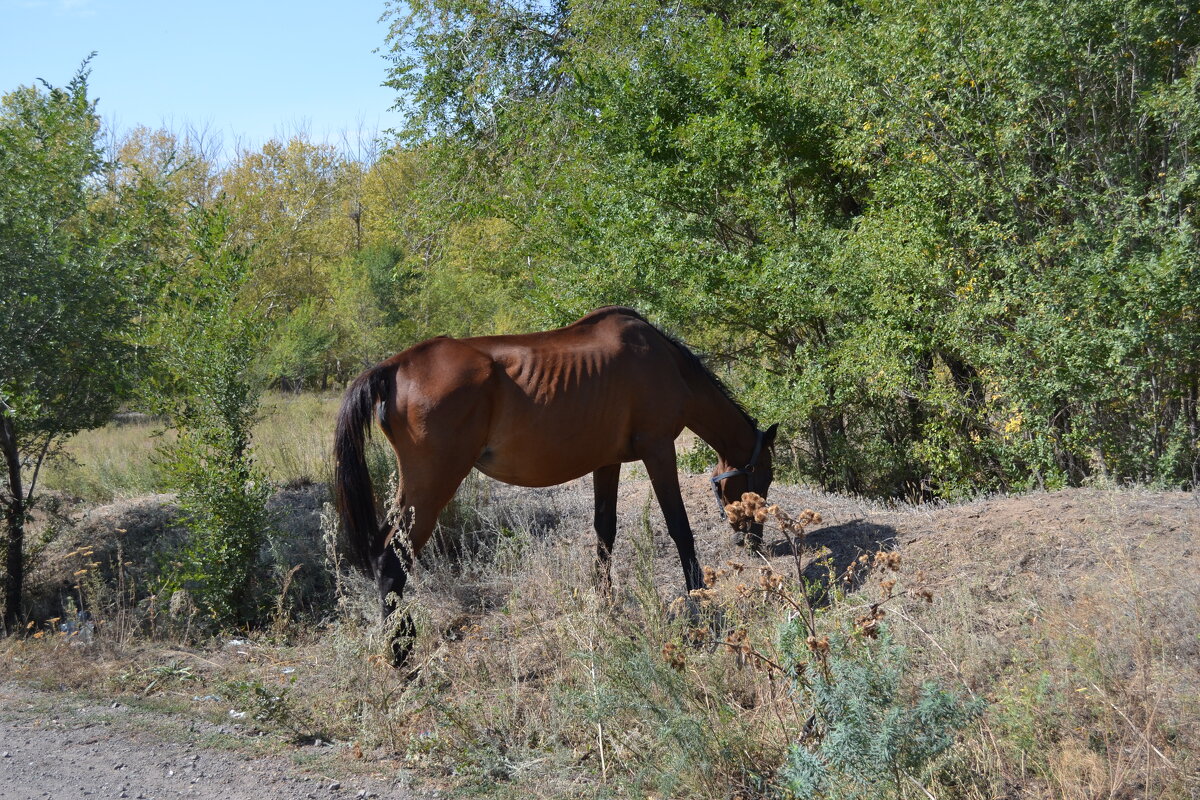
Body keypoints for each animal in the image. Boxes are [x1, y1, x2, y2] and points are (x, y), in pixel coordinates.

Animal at [333, 307, 777, 662]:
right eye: (764, 479)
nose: (754, 541)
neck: (665, 361)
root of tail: (394, 367)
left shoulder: (607, 462)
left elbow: (605, 530)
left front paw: (604, 602)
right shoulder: (659, 450)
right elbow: (680, 529)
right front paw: (701, 601)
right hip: (431, 487)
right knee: (391, 560)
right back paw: (401, 655)